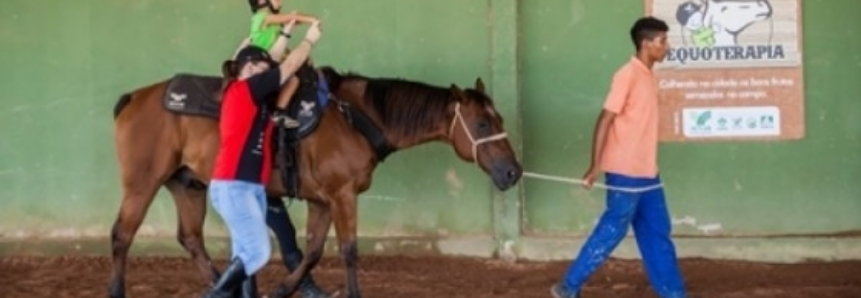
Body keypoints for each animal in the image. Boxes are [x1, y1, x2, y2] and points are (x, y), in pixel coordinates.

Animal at [109, 61, 524, 296]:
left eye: (500, 119)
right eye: (482, 123)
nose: (513, 171)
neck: (355, 117)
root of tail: (135, 97)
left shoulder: (321, 200)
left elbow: (312, 251)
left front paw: (284, 288)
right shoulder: (342, 195)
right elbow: (349, 250)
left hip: (187, 184)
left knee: (191, 238)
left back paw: (217, 284)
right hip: (142, 183)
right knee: (122, 235)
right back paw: (118, 289)